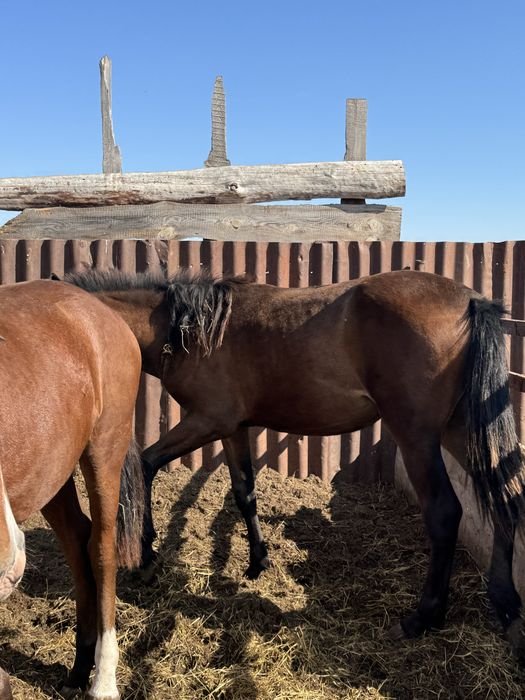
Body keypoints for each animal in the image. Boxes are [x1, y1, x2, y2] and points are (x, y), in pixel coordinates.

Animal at [0, 279, 144, 700]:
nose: (10, 565)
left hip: (103, 451)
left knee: (101, 549)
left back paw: (103, 680)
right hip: (53, 471)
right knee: (77, 540)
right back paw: (81, 665)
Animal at [64, 267, 525, 659]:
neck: (193, 332)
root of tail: (471, 300)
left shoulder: (206, 421)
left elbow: (147, 464)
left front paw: (146, 556)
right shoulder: (233, 427)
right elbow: (244, 492)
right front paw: (258, 560)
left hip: (418, 437)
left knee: (446, 513)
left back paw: (424, 617)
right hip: (461, 429)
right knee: (507, 495)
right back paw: (505, 604)